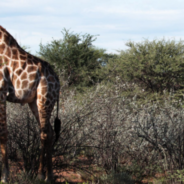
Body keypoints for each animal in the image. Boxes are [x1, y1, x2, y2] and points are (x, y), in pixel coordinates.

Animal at [0, 25, 61, 183]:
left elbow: (3, 132)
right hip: (34, 102)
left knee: (44, 133)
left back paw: (41, 175)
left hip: (45, 99)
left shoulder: (1, 92)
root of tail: (58, 81)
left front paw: (4, 176)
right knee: (50, 132)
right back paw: (49, 175)